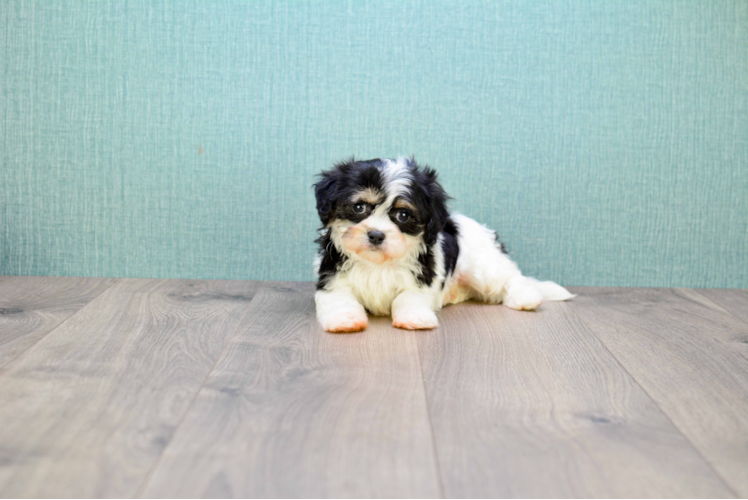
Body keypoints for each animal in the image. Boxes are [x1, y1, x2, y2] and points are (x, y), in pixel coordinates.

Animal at [312, 156, 576, 332]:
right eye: (359, 207)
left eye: (403, 215)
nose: (376, 235)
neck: (377, 263)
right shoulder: (332, 279)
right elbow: (339, 299)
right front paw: (344, 320)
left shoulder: (421, 279)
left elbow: (407, 297)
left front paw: (415, 317)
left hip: (483, 267)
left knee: (511, 277)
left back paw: (526, 297)